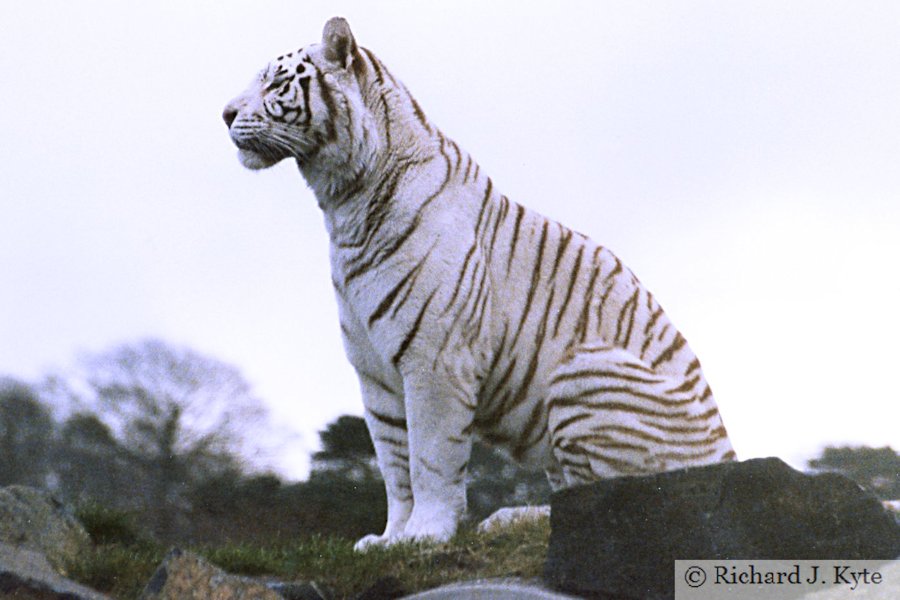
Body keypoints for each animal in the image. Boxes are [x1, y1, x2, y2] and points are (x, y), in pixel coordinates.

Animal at [221, 16, 736, 552]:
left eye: (276, 82)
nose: (224, 113)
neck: (344, 203)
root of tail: (727, 460)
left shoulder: (435, 361)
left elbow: (429, 459)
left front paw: (425, 535)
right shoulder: (374, 374)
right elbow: (394, 467)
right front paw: (389, 538)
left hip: (582, 374)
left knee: (614, 502)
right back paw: (506, 519)